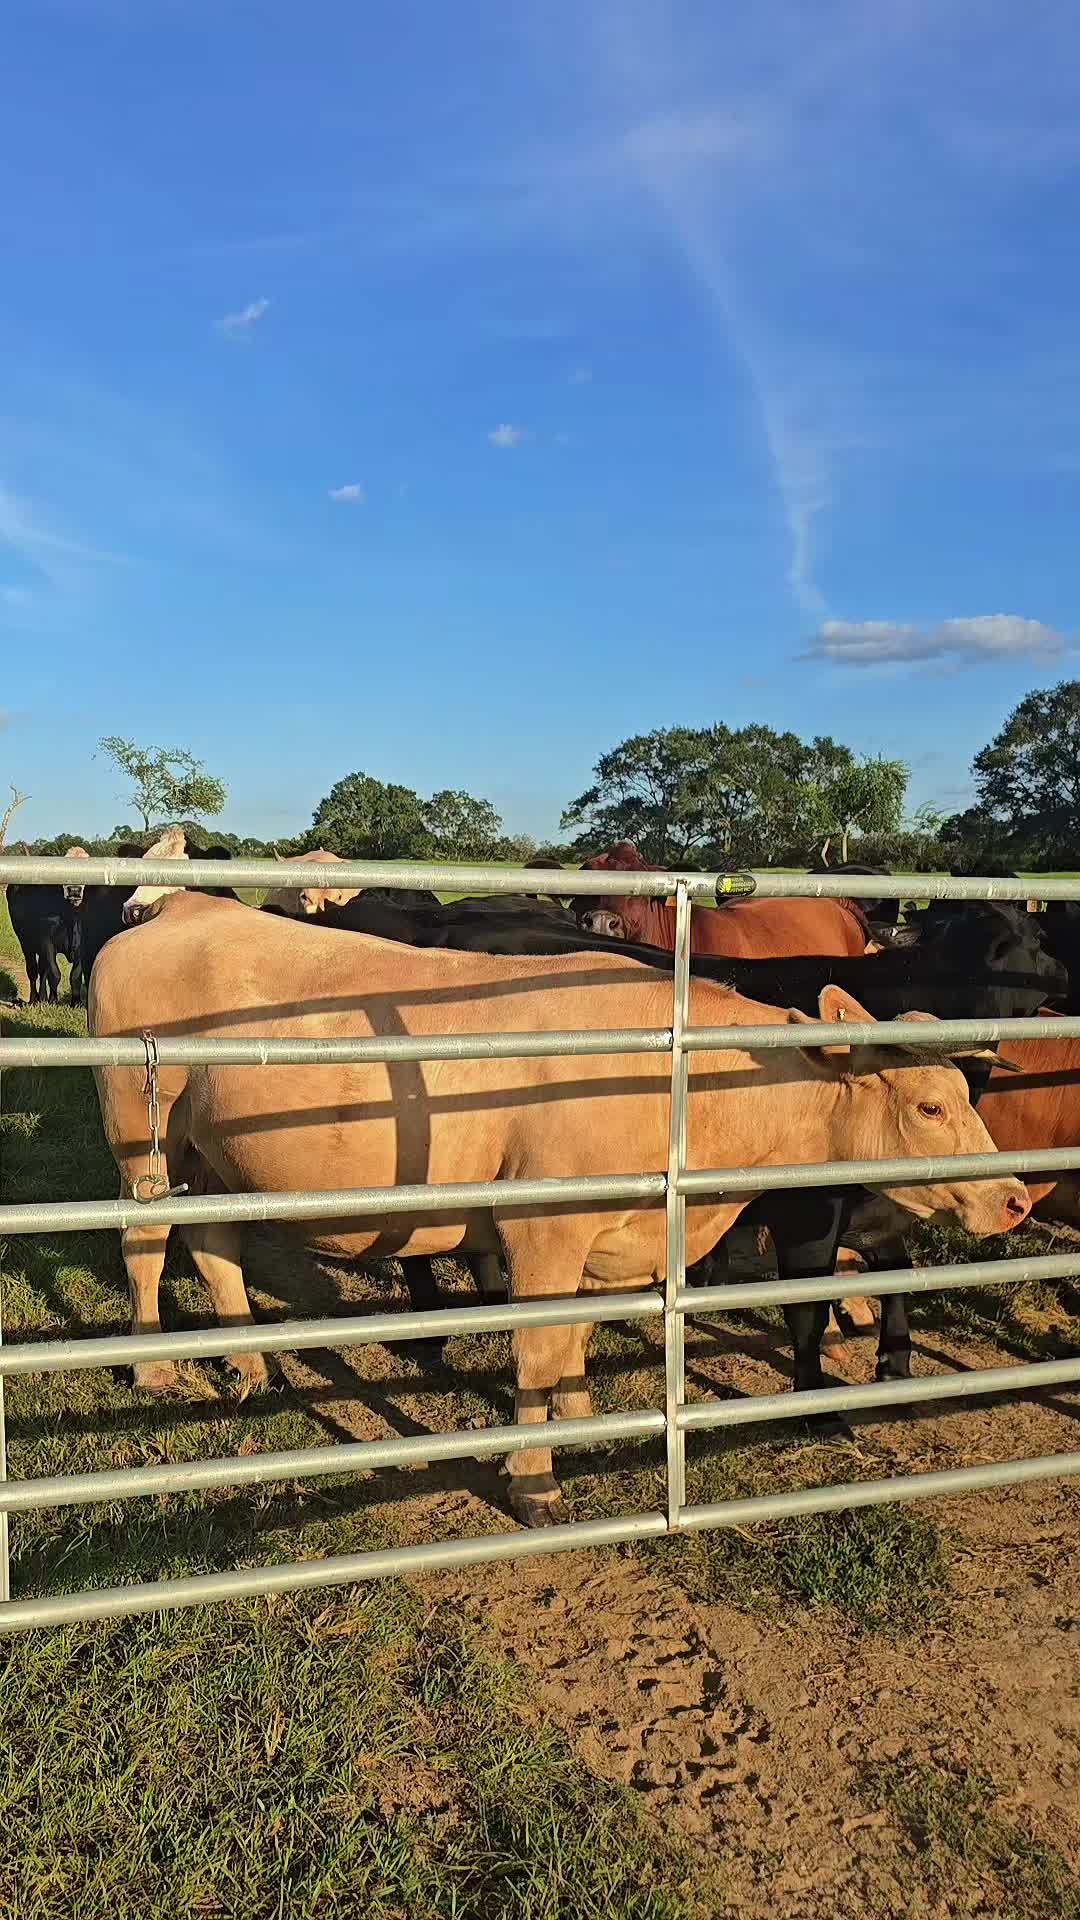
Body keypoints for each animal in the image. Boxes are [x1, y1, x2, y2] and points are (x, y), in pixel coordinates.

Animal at [90, 887, 1030, 1524]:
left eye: (966, 1092)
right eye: (930, 1106)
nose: (1017, 1197)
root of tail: (184, 906)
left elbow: (576, 1337)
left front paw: (583, 1421)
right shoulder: (542, 1228)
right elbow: (539, 1350)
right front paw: (535, 1480)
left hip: (217, 1151)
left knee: (214, 1243)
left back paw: (250, 1365)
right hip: (143, 1133)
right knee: (146, 1239)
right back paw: (154, 1365)